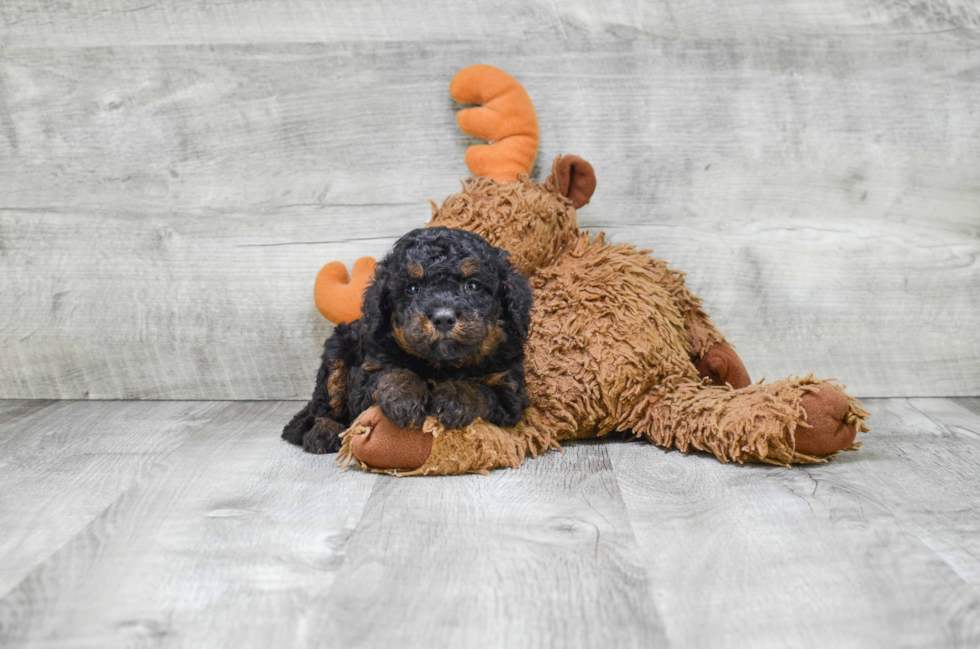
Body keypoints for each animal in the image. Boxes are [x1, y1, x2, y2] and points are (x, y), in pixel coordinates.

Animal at [280, 225, 532, 454]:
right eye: (413, 288)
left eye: (473, 286)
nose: (443, 318)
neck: (441, 364)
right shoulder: (367, 378)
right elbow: (392, 373)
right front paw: (405, 399)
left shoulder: (509, 391)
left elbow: (480, 389)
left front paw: (454, 397)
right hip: (337, 354)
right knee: (325, 406)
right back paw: (324, 432)